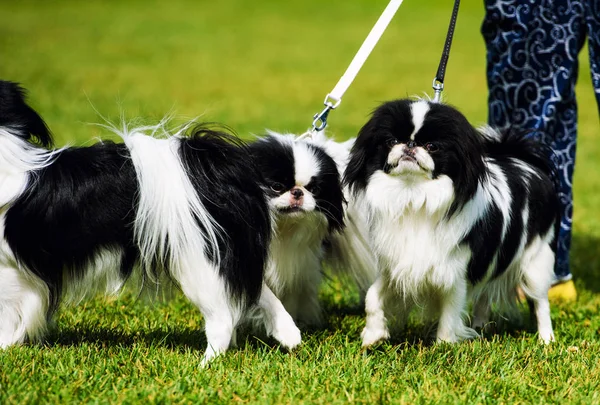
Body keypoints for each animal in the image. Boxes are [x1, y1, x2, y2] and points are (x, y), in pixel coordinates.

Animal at [0, 80, 300, 362]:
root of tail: (214, 165)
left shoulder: (11, 271)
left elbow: (8, 314)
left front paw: (4, 347)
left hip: (198, 265)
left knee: (223, 319)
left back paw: (205, 366)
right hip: (228, 257)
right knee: (256, 291)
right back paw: (290, 336)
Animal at [344, 99, 560, 346]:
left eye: (432, 146)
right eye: (392, 141)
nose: (410, 145)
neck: (413, 194)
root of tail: (523, 160)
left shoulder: (454, 273)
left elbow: (449, 314)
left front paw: (443, 346)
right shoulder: (398, 265)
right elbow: (372, 296)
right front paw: (373, 335)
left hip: (536, 261)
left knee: (540, 302)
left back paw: (546, 339)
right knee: (484, 296)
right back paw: (480, 327)